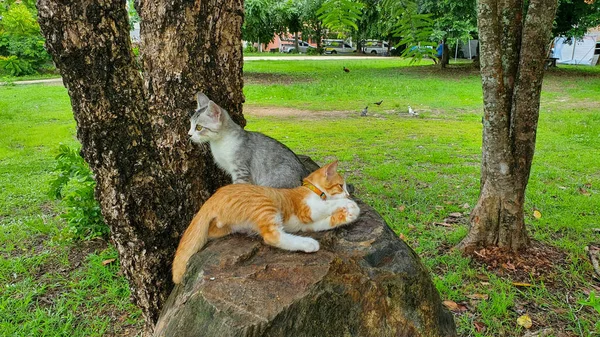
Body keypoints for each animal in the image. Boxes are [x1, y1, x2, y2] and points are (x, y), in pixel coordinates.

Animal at [173, 161, 360, 282]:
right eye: (341, 186)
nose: (348, 194)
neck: (311, 190)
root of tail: (213, 197)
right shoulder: (308, 209)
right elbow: (327, 205)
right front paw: (349, 205)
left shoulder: (309, 223)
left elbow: (325, 221)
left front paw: (347, 215)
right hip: (265, 204)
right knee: (272, 236)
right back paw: (308, 244)